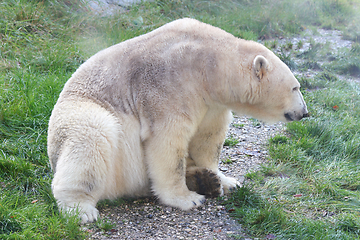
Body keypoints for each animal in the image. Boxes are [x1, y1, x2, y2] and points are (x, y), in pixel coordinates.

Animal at [46, 18, 308, 223]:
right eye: (295, 88)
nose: (305, 113)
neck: (207, 63)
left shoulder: (211, 103)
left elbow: (207, 140)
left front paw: (228, 180)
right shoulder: (168, 85)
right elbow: (168, 142)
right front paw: (187, 199)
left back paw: (204, 180)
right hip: (83, 114)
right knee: (90, 138)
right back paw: (81, 209)